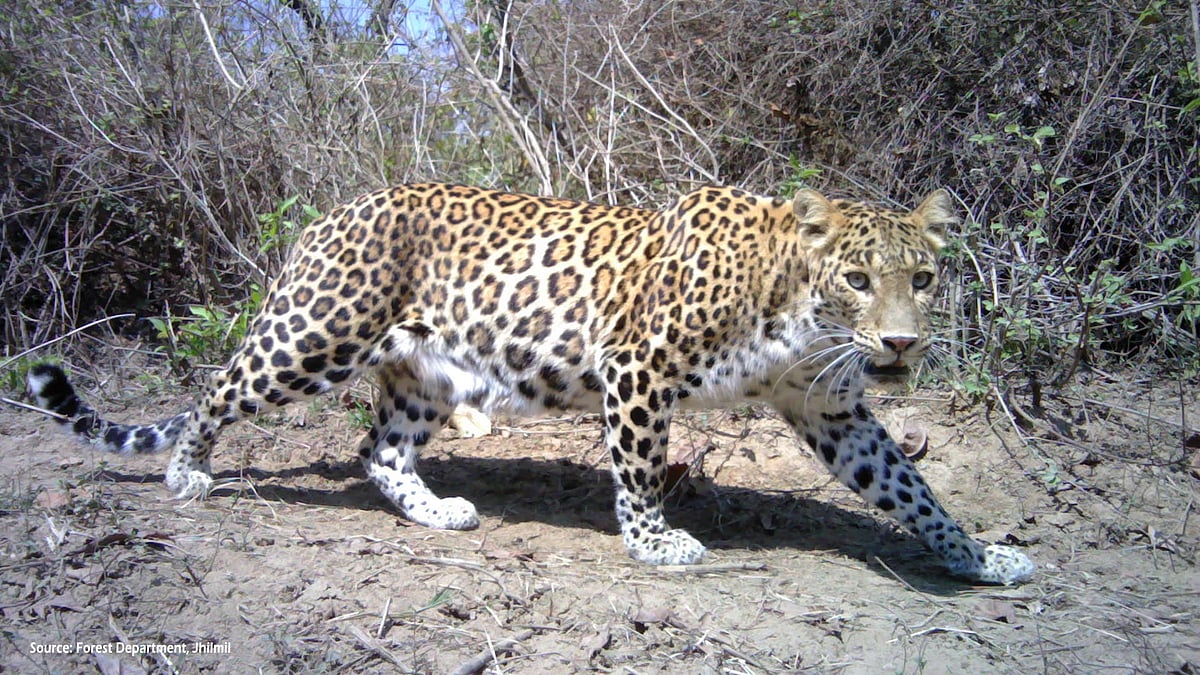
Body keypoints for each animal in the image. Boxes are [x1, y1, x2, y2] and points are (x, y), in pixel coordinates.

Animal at [28, 182, 1035, 585]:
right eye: (858, 278)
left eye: (924, 278)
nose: (900, 345)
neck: (793, 305)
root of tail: (331, 213)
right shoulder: (638, 365)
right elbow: (639, 468)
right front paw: (655, 544)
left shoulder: (830, 405)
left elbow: (910, 486)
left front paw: (980, 556)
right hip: (315, 334)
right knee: (217, 388)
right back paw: (187, 471)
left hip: (422, 375)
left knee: (377, 450)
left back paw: (438, 511)